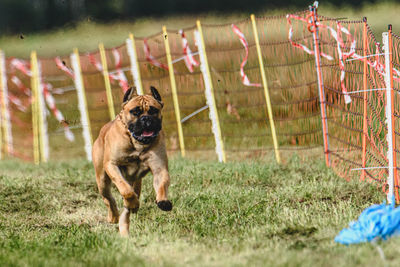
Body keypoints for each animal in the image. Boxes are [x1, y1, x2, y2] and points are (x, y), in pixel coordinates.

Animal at [93, 86, 173, 237]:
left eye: (154, 110)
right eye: (135, 112)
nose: (146, 119)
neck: (137, 144)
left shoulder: (159, 168)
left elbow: (162, 184)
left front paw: (163, 201)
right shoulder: (112, 165)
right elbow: (125, 190)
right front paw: (132, 202)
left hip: (135, 182)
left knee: (127, 210)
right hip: (102, 180)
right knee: (109, 199)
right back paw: (114, 216)